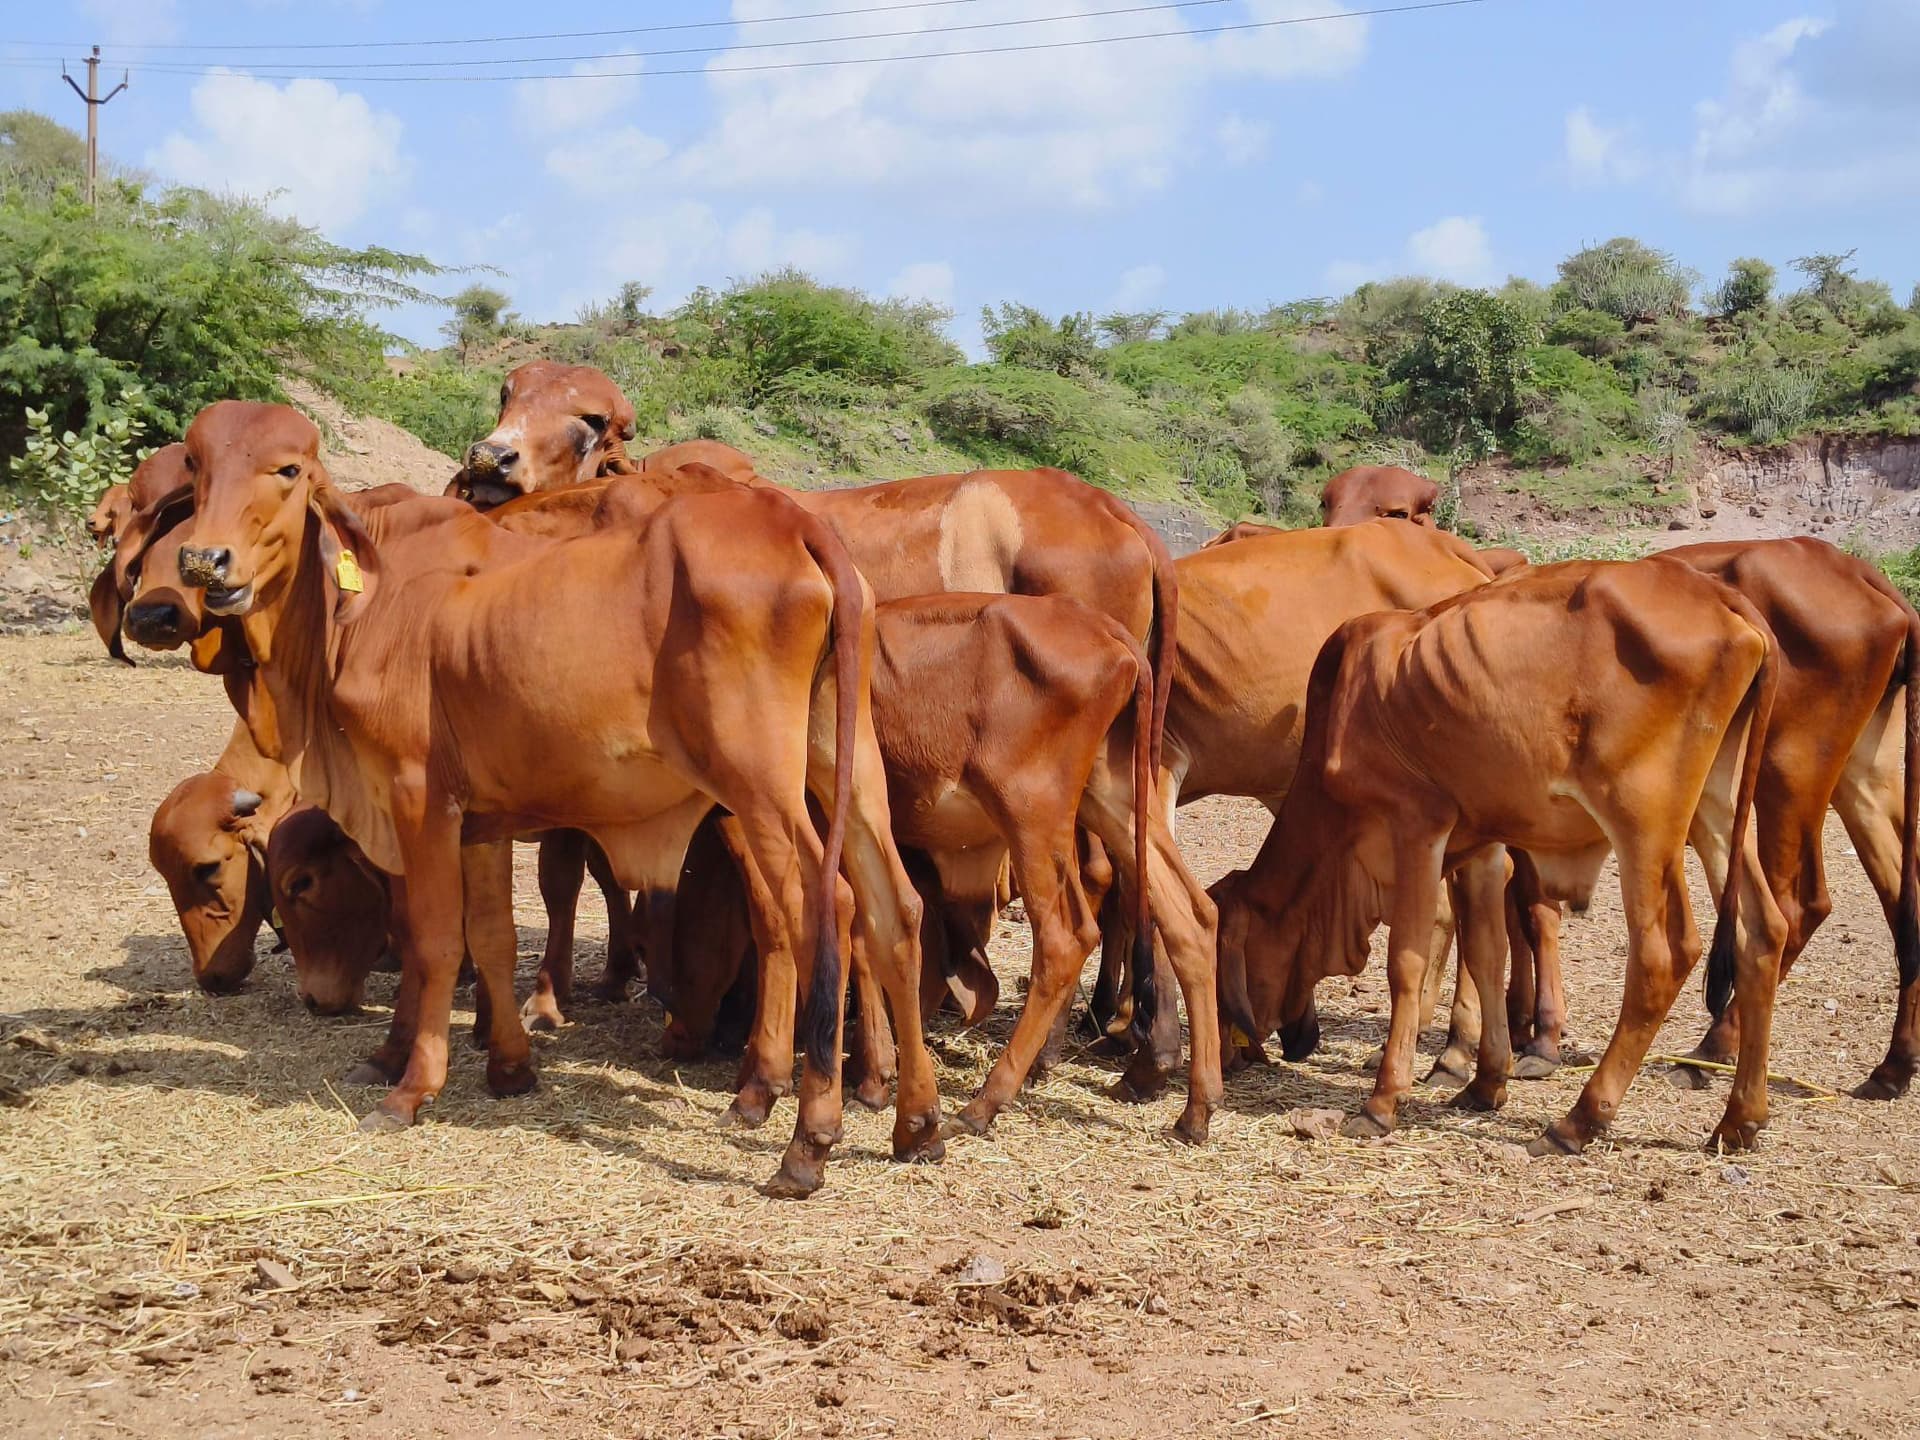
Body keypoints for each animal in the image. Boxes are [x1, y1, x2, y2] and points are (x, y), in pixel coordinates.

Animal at [166, 399, 933, 1197]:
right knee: (894, 907)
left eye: (288, 470)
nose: (203, 563)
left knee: (824, 907)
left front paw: (410, 1087)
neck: (368, 603)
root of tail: (794, 522)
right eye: (196, 466)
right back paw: (917, 1122)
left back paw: (808, 1140)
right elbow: (492, 938)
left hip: (759, 782)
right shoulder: (476, 821)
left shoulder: (417, 800)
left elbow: (433, 942)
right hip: (847, 765)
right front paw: (509, 1066)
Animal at [1218, 558, 1785, 1154]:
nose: (1233, 1060)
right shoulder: (1482, 845)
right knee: (1762, 932)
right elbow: (1487, 951)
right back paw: (1740, 1118)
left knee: (1663, 956)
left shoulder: (1416, 828)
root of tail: (1711, 591)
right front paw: (1486, 1081)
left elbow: (1406, 962)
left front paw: (1382, 1101)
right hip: (1717, 808)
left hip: (1643, 822)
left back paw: (1579, 1120)